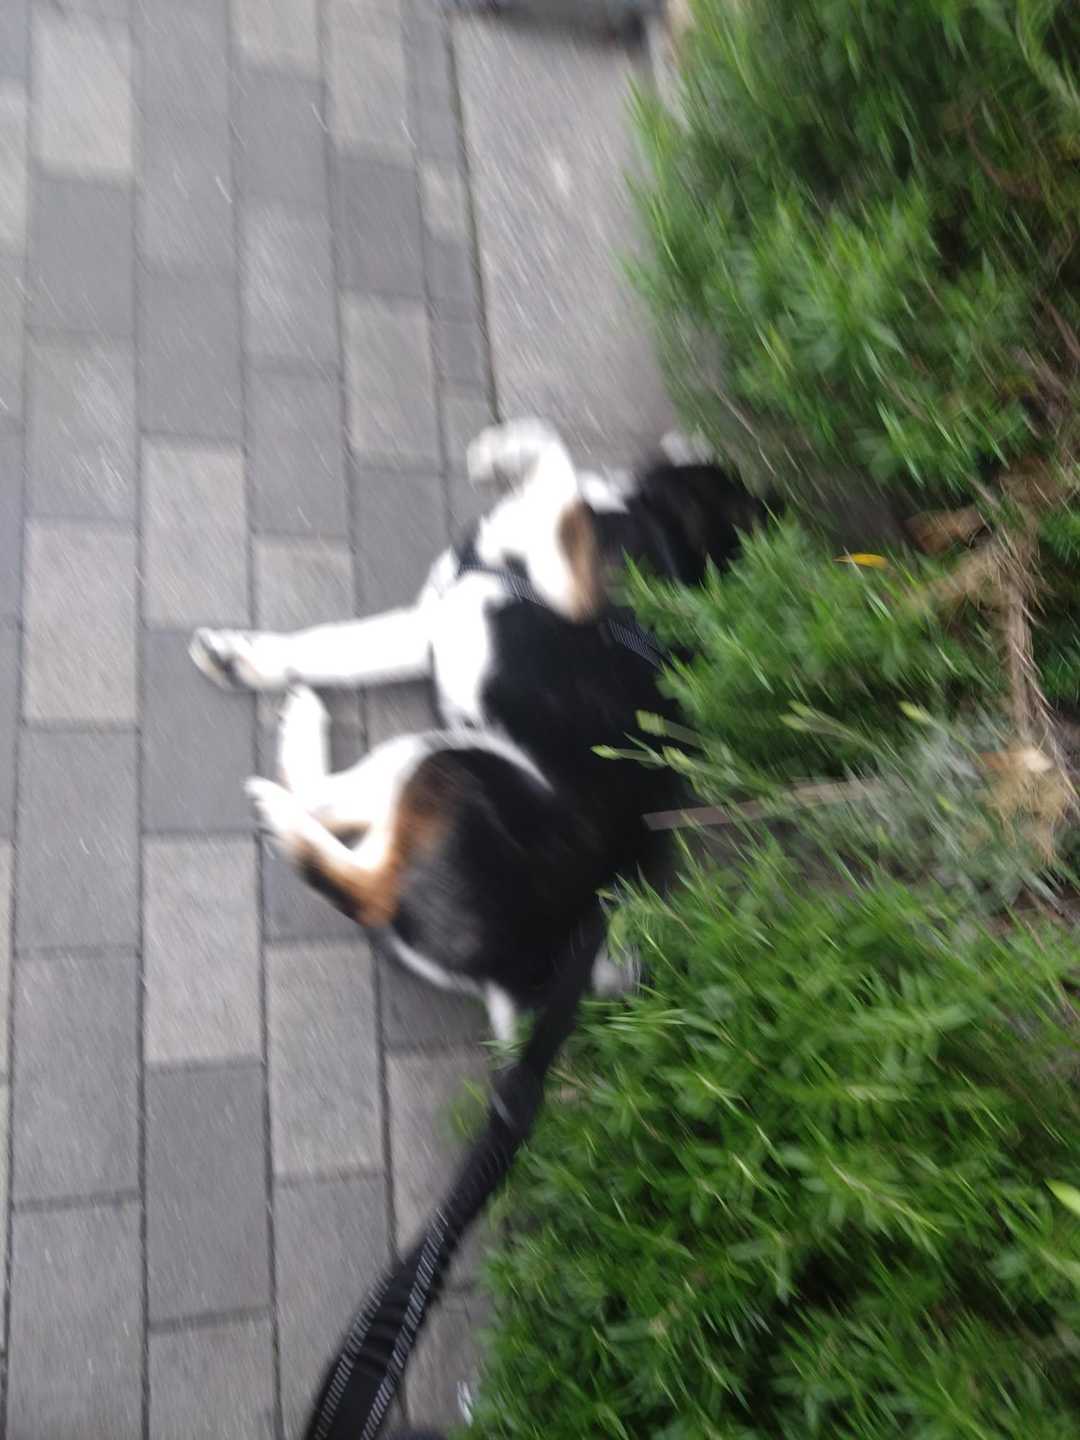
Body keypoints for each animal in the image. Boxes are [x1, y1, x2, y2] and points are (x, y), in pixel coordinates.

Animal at [190, 420, 767, 1040]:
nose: (696, 436)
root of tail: (516, 974)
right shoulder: (431, 621)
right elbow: (335, 647)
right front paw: (242, 660)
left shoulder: (563, 579)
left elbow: (557, 460)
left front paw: (503, 449)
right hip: (442, 760)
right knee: (349, 833)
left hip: (455, 765)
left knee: (359, 876)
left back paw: (285, 784)